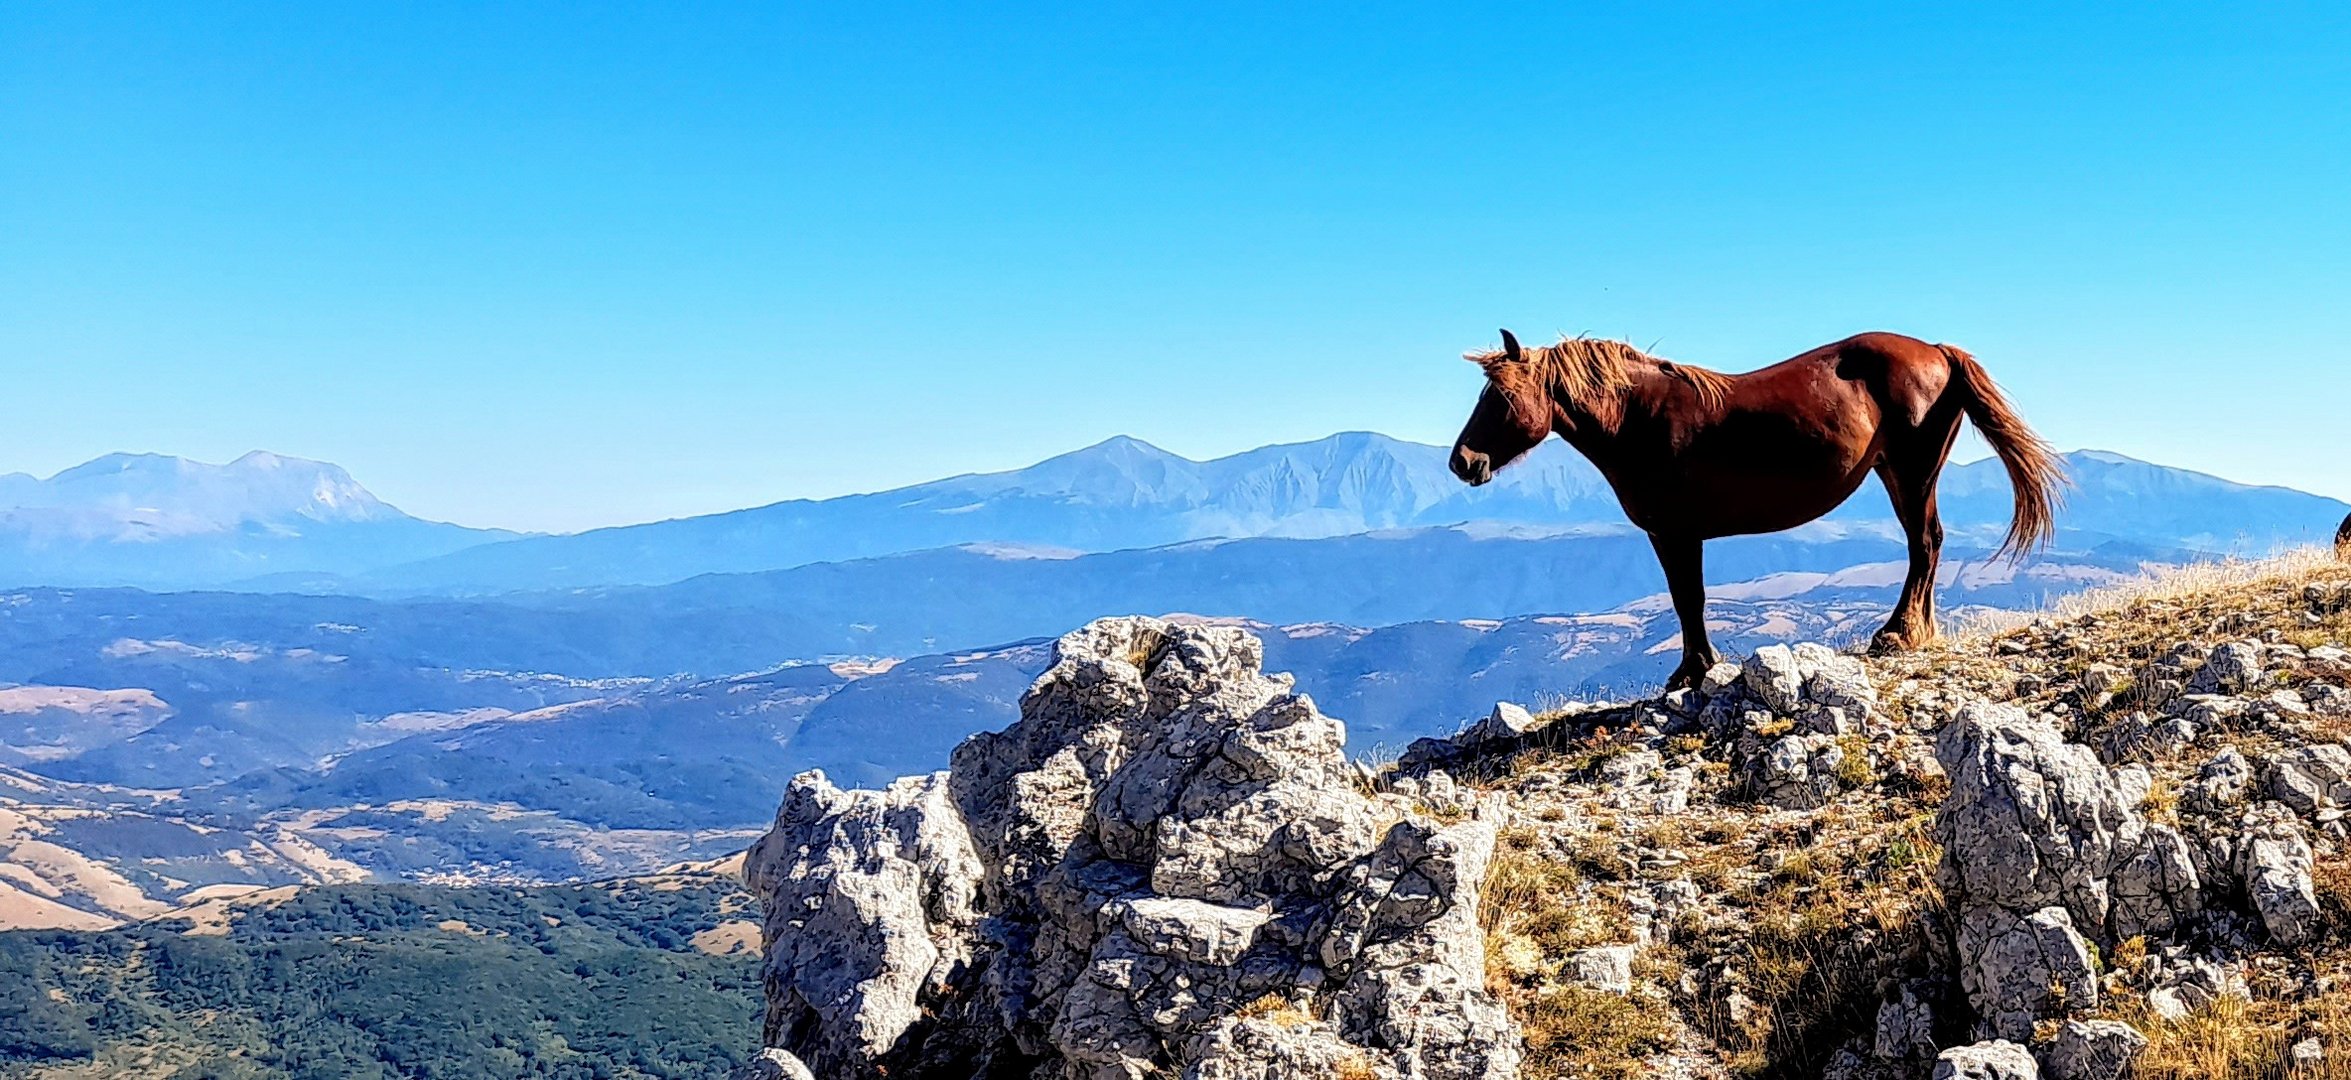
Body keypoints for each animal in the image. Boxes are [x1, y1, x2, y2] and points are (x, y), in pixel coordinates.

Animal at [1438, 324, 2068, 687]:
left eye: (1504, 397)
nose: (1462, 461)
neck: (1638, 419)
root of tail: (1937, 351)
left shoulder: (1675, 533)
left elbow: (1687, 599)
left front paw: (1692, 671)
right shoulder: (1676, 534)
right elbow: (1687, 600)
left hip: (1912, 472)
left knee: (1925, 543)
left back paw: (1896, 634)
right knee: (1927, 545)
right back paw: (1916, 631)